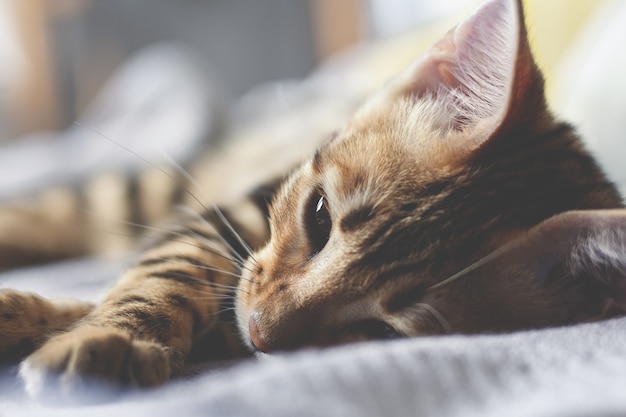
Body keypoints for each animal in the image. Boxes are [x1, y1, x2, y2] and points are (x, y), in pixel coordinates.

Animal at [1, 0, 624, 400]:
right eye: (319, 216)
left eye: (381, 332)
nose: (260, 333)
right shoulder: (225, 217)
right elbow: (167, 274)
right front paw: (107, 334)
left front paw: (62, 324)